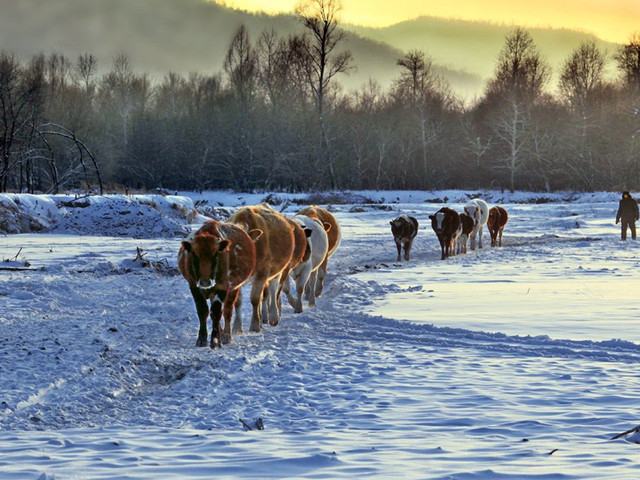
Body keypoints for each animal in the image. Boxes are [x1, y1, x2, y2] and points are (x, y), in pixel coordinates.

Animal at [176, 220, 258, 348]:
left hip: (234, 289)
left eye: (215, 255)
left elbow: (216, 312)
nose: (205, 282)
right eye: (194, 255)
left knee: (227, 310)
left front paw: (215, 340)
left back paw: (226, 336)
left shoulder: (222, 287)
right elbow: (203, 310)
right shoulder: (193, 286)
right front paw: (202, 339)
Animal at [228, 202, 296, 330]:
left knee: (274, 291)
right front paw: (237, 328)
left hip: (277, 271)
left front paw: (254, 326)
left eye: (240, 247)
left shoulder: (262, 273)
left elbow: (255, 299)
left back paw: (273, 317)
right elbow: (238, 302)